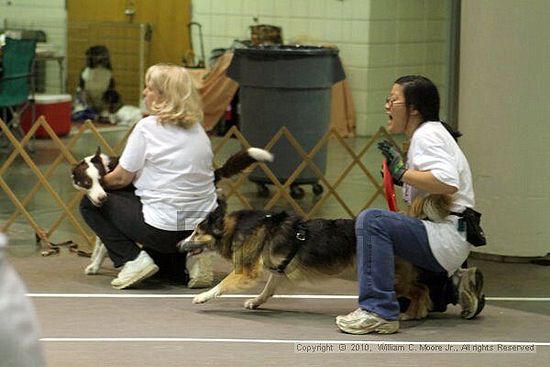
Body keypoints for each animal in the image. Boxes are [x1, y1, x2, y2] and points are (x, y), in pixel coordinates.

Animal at [71, 147, 274, 276]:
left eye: (102, 181)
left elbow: (104, 245)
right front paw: (94, 263)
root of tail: (213, 175)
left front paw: (97, 265)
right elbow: (99, 243)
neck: (108, 168)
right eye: (87, 183)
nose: (102, 198)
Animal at [180, 194, 452, 320]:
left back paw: (413, 313)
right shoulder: (277, 271)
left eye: (196, 232)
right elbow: (268, 290)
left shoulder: (246, 271)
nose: (179, 244)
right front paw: (256, 302)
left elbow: (222, 285)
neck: (236, 228)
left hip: (393, 278)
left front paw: (202, 297)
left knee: (420, 290)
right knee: (422, 288)